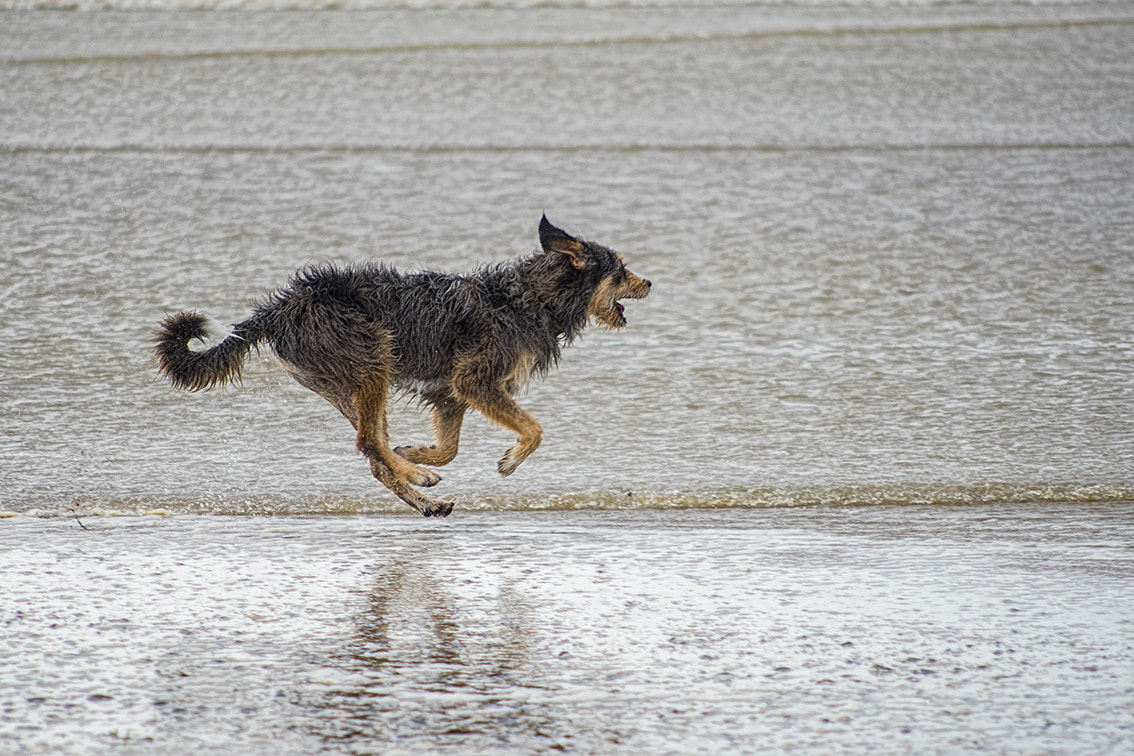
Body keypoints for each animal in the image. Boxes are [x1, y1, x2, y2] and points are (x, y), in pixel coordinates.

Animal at [155, 215, 653, 516]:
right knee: (368, 443)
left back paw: (417, 488)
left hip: (346, 382)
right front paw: (510, 461)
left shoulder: (451, 394)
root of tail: (280, 308)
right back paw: (415, 478)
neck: (530, 299)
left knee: (372, 449)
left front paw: (416, 453)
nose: (649, 281)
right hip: (374, 356)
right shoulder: (474, 381)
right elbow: (533, 429)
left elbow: (449, 447)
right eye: (620, 269)